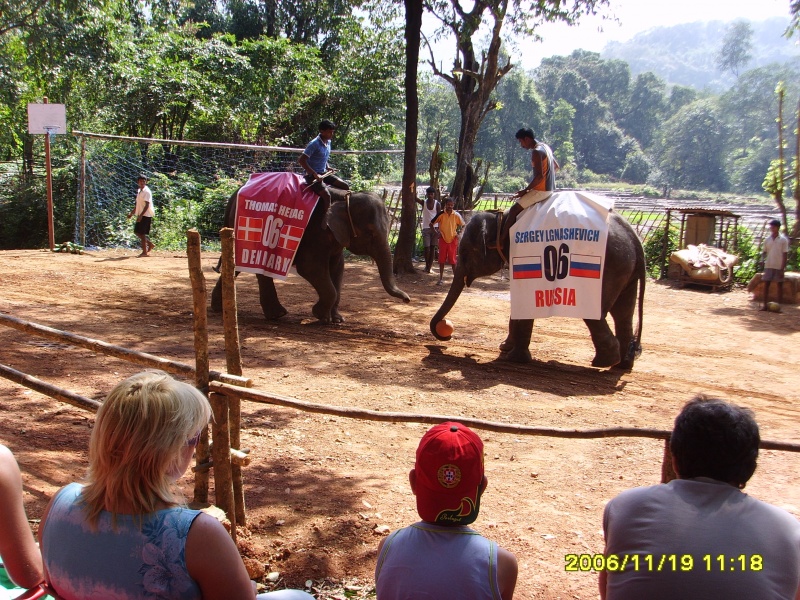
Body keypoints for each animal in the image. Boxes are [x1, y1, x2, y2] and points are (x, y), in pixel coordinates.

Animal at [211, 185, 410, 323]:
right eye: (371, 233)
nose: (407, 299)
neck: (346, 198)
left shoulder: (337, 238)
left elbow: (337, 269)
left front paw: (337, 320)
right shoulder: (315, 232)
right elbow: (310, 268)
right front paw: (321, 316)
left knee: (236, 265)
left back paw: (220, 309)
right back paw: (277, 315)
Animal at [430, 208, 645, 369]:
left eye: (465, 252)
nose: (447, 333)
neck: (502, 220)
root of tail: (635, 238)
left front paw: (514, 358)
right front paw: (505, 348)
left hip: (606, 267)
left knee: (595, 311)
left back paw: (604, 362)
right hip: (625, 269)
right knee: (623, 314)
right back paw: (622, 364)